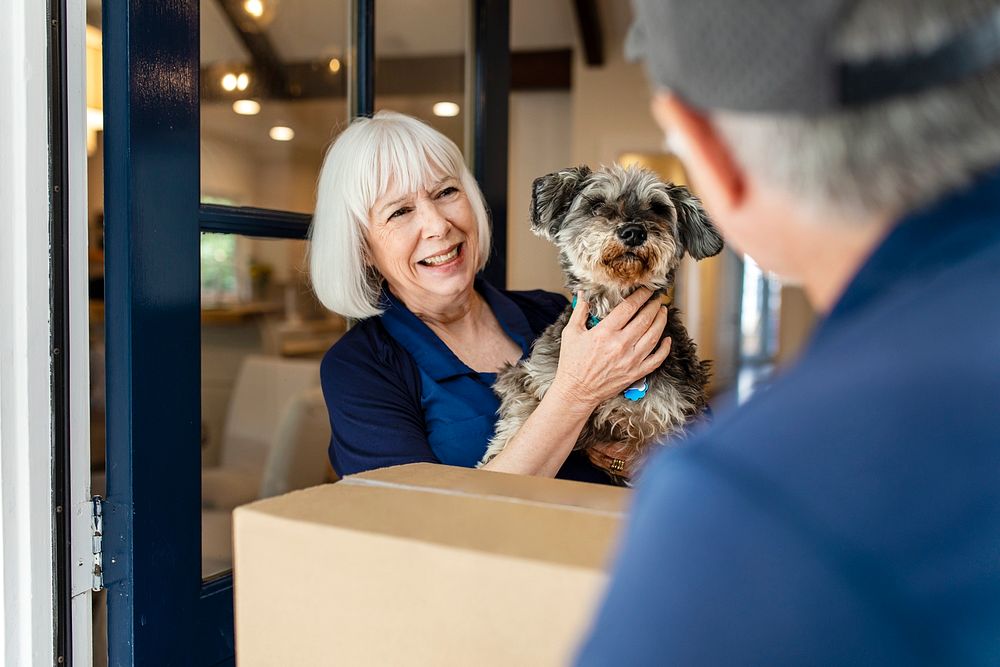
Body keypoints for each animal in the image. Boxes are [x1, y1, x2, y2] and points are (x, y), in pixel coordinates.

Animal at [480, 166, 724, 480]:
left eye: (657, 209)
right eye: (596, 204)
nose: (633, 232)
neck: (613, 305)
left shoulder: (671, 422)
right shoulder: (533, 377)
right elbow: (523, 412)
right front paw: (495, 456)